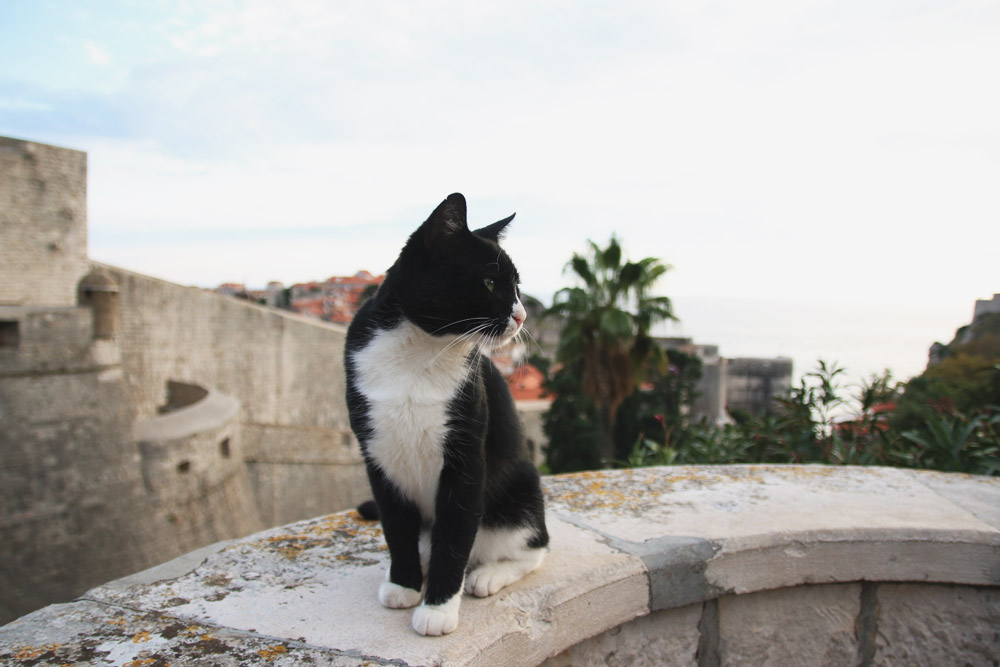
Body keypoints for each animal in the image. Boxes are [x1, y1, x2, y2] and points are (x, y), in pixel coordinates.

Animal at [344, 193, 548, 636]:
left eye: (517, 287)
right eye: (489, 283)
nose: (522, 315)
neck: (421, 352)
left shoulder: (466, 457)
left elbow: (454, 537)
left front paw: (437, 608)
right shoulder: (379, 457)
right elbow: (395, 526)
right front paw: (403, 583)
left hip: (520, 491)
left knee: (533, 546)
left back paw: (487, 575)